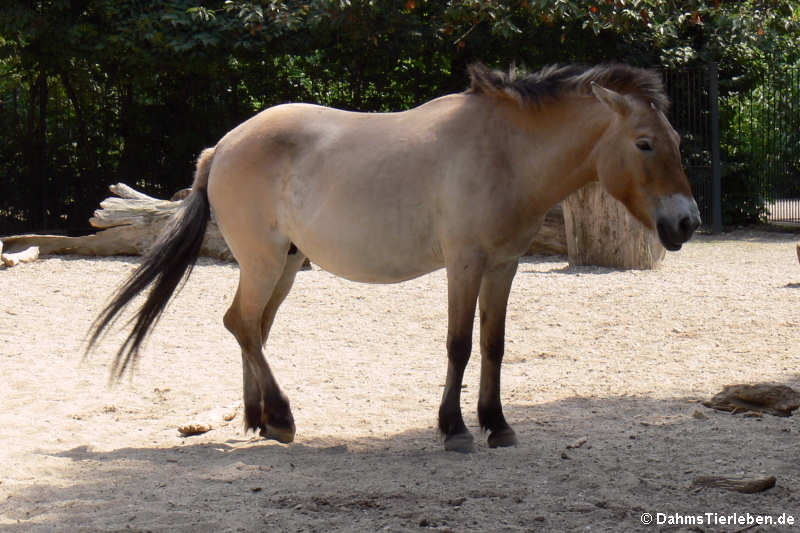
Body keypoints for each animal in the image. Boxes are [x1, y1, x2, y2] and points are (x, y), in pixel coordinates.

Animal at [89, 64, 700, 450]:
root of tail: (222, 146)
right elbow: (458, 345)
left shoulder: (503, 266)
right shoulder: (465, 263)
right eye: (645, 143)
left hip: (284, 266)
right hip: (263, 262)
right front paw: (455, 430)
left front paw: (497, 425)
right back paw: (280, 418)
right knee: (241, 323)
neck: (503, 151)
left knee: (252, 328)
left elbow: (494, 345)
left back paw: (261, 420)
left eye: (674, 140)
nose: (686, 222)